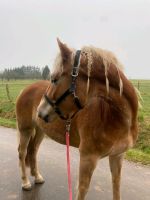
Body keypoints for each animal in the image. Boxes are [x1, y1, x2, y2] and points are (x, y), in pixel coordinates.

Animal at [16, 39, 138, 200]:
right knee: (22, 152)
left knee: (33, 151)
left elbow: (116, 188)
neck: (115, 118)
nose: (40, 112)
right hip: (26, 129)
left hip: (40, 131)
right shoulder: (87, 158)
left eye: (54, 79)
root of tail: (25, 89)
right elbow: (82, 190)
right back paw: (25, 182)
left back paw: (37, 177)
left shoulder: (117, 157)